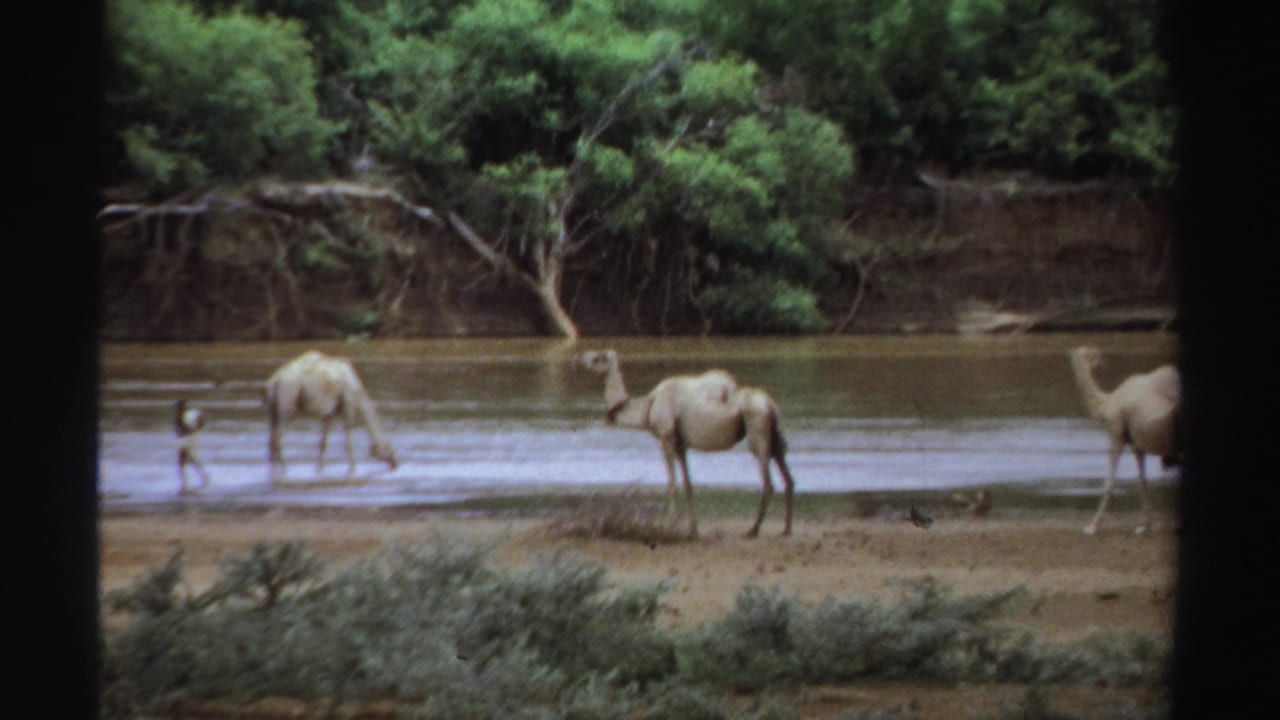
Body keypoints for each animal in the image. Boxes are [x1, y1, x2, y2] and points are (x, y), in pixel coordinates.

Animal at [263, 350, 398, 481]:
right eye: (388, 448)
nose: (395, 464)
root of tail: (275, 381)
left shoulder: (329, 413)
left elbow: (323, 443)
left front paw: (319, 470)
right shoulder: (348, 408)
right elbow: (348, 444)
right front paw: (353, 469)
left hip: (272, 408)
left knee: (271, 440)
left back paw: (272, 473)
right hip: (288, 399)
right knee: (278, 440)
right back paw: (285, 472)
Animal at [575, 349, 796, 539]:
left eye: (597, 358)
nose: (577, 360)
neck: (648, 408)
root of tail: (770, 404)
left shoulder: (666, 438)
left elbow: (672, 484)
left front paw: (667, 525)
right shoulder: (681, 445)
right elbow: (688, 484)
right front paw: (693, 530)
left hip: (757, 431)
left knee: (768, 482)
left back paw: (753, 529)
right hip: (774, 438)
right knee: (788, 478)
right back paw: (786, 529)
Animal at [1069, 346, 1181, 535]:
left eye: (1091, 353)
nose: (1102, 359)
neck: (1107, 403)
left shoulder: (1116, 434)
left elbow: (1109, 482)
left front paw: (1092, 527)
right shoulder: (1137, 444)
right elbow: (1142, 481)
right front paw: (1145, 525)